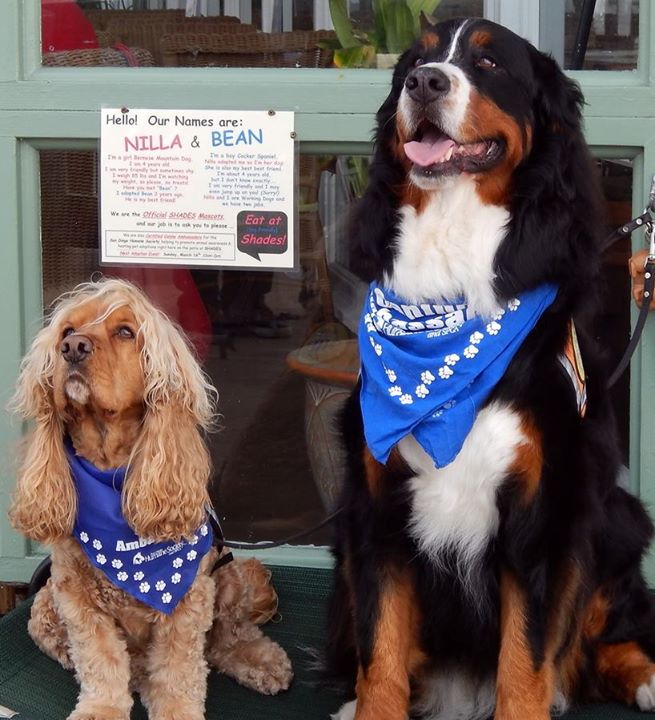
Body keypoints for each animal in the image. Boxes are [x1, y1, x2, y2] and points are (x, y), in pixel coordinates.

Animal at [328, 15, 655, 720]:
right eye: (414, 64)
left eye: (490, 64)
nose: (426, 82)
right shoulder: (377, 511)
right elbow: (382, 654)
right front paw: (372, 703)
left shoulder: (541, 519)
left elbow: (524, 665)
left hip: (616, 517)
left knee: (607, 629)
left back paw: (644, 675)